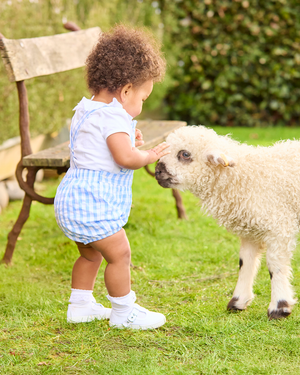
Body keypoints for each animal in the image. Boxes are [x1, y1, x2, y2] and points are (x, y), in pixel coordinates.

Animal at [156, 126, 300, 320]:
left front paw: (279, 307)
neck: (244, 177)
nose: (157, 171)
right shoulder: (250, 231)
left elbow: (275, 265)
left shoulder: (279, 226)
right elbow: (245, 262)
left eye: (184, 154)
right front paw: (238, 302)